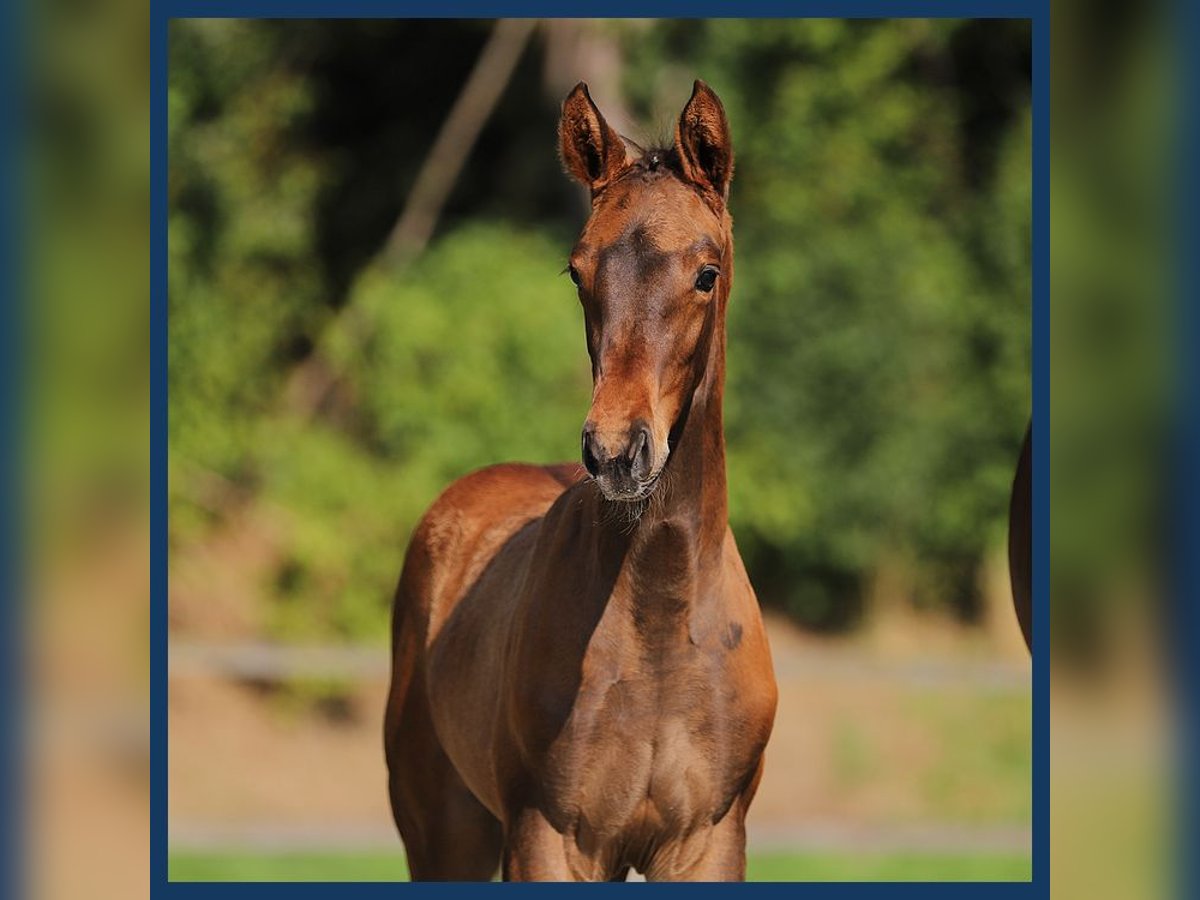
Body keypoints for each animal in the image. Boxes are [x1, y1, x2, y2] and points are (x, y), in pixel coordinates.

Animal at [384, 81, 777, 883]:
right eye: (578, 271)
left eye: (707, 273)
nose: (617, 452)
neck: (659, 625)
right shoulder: (550, 838)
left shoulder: (708, 841)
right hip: (445, 832)